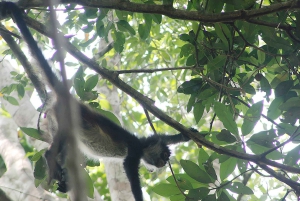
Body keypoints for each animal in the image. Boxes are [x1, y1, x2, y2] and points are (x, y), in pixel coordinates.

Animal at [2, 2, 197, 200]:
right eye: (164, 155)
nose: (164, 163)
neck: (143, 146)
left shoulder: (150, 139)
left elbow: (165, 136)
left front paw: (188, 134)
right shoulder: (135, 149)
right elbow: (129, 167)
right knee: (57, 144)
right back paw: (51, 159)